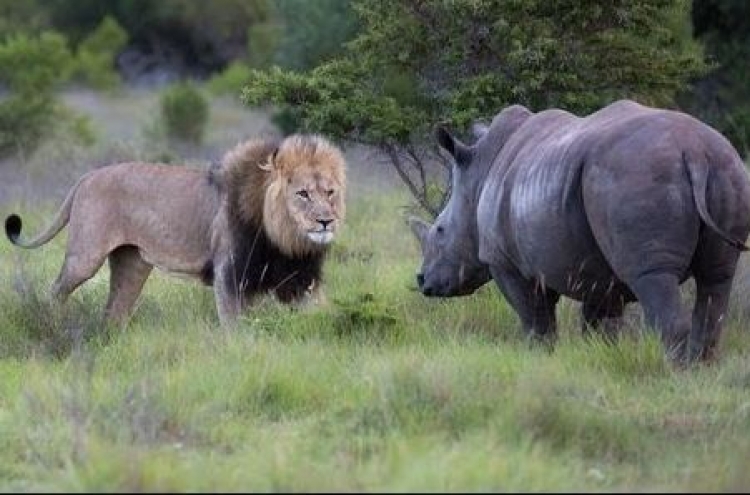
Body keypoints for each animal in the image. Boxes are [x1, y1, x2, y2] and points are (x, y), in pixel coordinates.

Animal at [2, 134, 348, 326]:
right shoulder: (229, 275)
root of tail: (87, 176)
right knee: (55, 291)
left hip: (132, 265)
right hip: (84, 258)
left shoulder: (301, 280)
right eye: (303, 194)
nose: (326, 221)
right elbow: (237, 330)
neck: (286, 241)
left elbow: (324, 317)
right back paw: (48, 323)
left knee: (113, 314)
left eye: (330, 192)